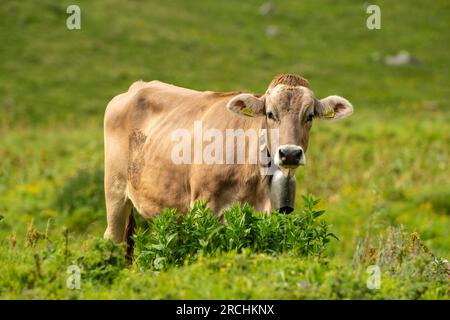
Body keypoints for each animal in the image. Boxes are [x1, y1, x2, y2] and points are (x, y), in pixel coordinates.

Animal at [103, 74, 354, 249]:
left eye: (309, 116)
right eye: (270, 114)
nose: (290, 153)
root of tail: (136, 87)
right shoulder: (203, 208)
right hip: (115, 192)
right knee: (112, 238)